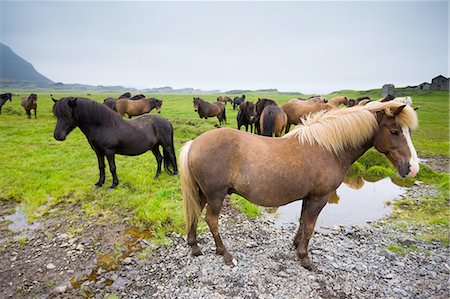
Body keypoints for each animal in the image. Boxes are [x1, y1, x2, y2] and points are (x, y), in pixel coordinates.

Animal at [181, 102, 420, 270]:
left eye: (408, 132)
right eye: (395, 131)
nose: (412, 168)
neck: (328, 148)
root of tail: (194, 143)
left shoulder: (309, 197)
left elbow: (303, 221)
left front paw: (296, 246)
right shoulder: (320, 197)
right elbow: (310, 226)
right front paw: (305, 259)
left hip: (203, 193)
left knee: (194, 213)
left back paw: (194, 247)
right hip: (216, 195)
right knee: (211, 220)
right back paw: (225, 254)